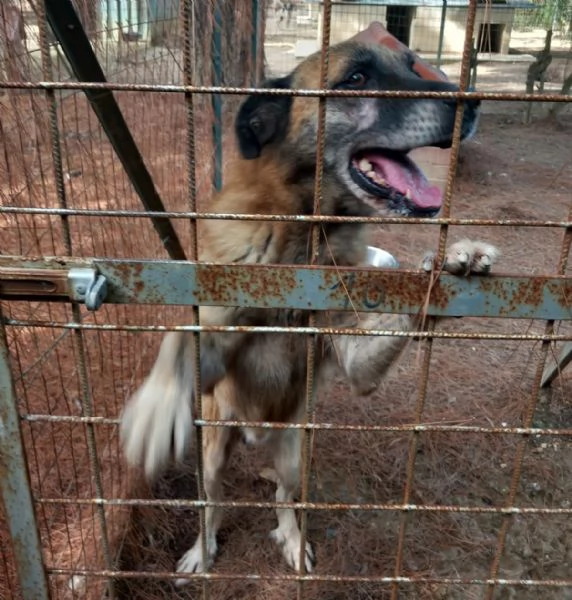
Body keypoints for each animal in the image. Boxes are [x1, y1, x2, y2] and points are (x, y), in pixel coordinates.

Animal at [122, 23, 500, 580]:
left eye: (413, 66)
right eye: (356, 77)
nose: (473, 102)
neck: (305, 241)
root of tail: (257, 434)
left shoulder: (355, 356)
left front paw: (457, 258)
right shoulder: (216, 332)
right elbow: (179, 338)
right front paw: (157, 403)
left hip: (295, 456)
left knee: (284, 500)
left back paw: (293, 540)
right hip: (213, 452)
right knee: (213, 503)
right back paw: (202, 549)